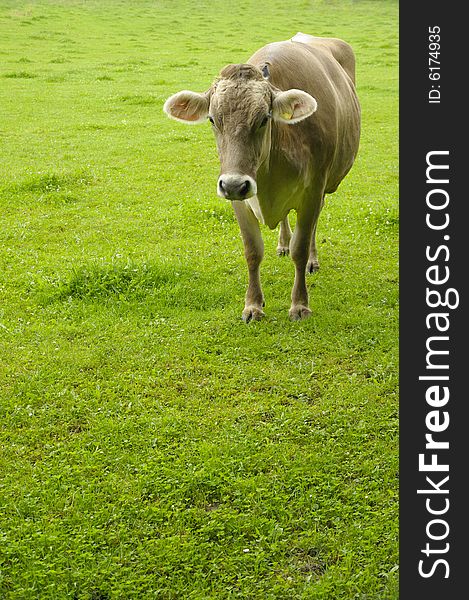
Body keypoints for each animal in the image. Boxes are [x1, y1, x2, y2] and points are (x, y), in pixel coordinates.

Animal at [163, 31, 360, 324]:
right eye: (212, 120)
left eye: (264, 118)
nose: (234, 184)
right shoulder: (239, 198)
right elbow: (252, 251)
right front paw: (253, 305)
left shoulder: (313, 191)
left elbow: (301, 247)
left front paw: (299, 304)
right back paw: (282, 244)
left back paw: (312, 260)